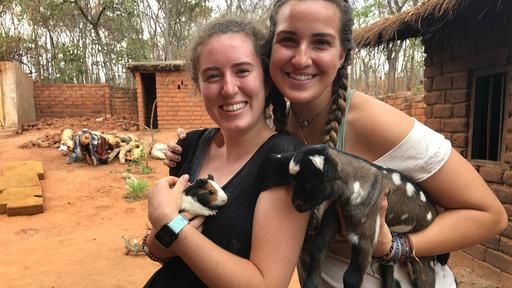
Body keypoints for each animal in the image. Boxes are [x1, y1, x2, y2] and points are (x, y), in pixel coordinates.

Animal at [274, 145, 446, 288]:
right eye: (293, 182)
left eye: (312, 181)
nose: (295, 204)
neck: (357, 182)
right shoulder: (334, 217)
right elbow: (318, 248)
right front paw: (311, 283)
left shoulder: (365, 236)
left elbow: (352, 277)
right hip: (391, 262)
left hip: (423, 264)